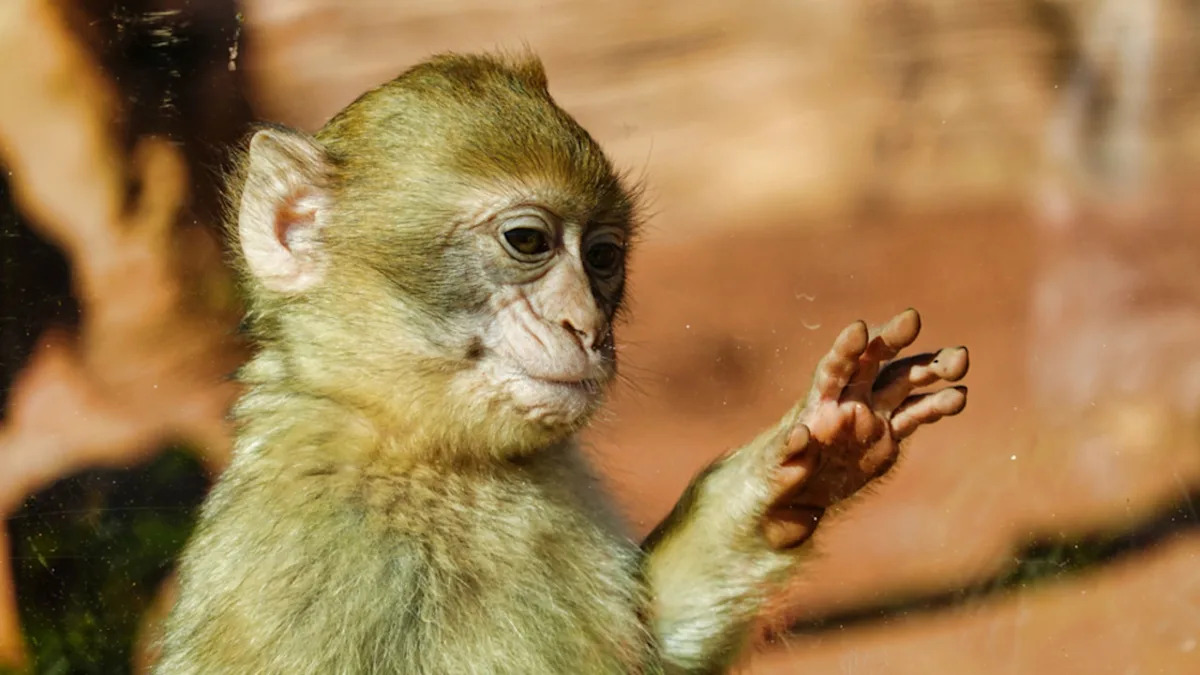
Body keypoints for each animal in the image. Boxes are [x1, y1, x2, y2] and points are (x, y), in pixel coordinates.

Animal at [154, 52, 970, 675]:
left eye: (603, 258)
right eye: (528, 241)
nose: (586, 325)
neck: (433, 461)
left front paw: (797, 474)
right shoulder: (301, 559)